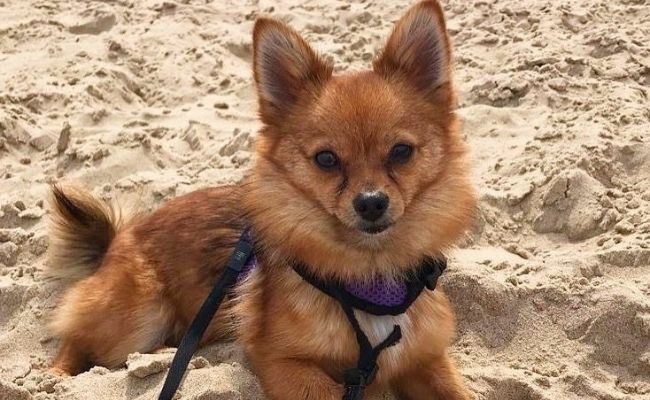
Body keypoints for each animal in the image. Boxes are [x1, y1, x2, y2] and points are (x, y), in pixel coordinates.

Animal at [44, 1, 470, 398]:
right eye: (326, 159)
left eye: (401, 152)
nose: (370, 202)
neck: (373, 274)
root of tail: (118, 238)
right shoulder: (282, 361)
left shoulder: (422, 358)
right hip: (140, 316)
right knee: (79, 336)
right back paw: (58, 376)